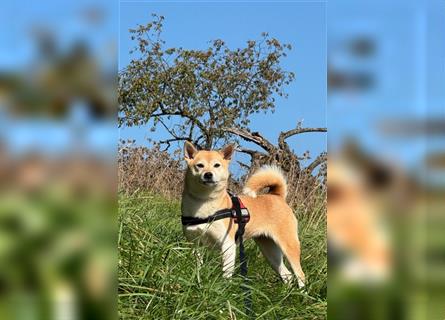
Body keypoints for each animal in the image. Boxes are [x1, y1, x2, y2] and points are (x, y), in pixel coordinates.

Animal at [180, 141, 306, 286]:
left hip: (288, 245)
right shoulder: (195, 244)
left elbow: (226, 273)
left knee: (300, 274)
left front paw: (224, 287)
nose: (208, 174)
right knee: (287, 275)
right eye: (199, 165)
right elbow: (198, 266)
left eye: (217, 165)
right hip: (269, 249)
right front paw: (197, 279)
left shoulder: (228, 245)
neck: (204, 202)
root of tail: (277, 196)